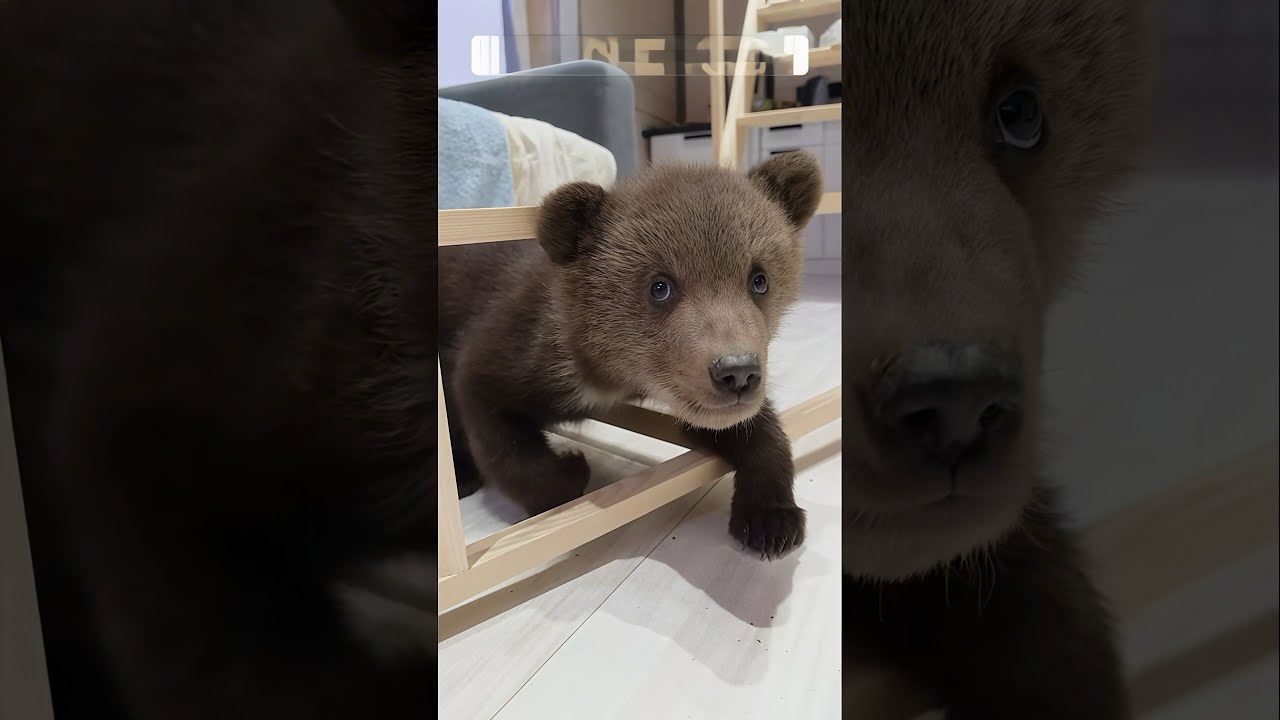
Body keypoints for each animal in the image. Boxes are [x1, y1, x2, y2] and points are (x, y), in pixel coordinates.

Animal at [439, 151, 824, 559]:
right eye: (660, 286)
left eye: (759, 279)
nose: (736, 373)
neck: (607, 374)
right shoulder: (511, 348)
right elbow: (492, 424)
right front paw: (570, 467)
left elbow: (751, 427)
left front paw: (770, 520)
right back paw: (462, 478)